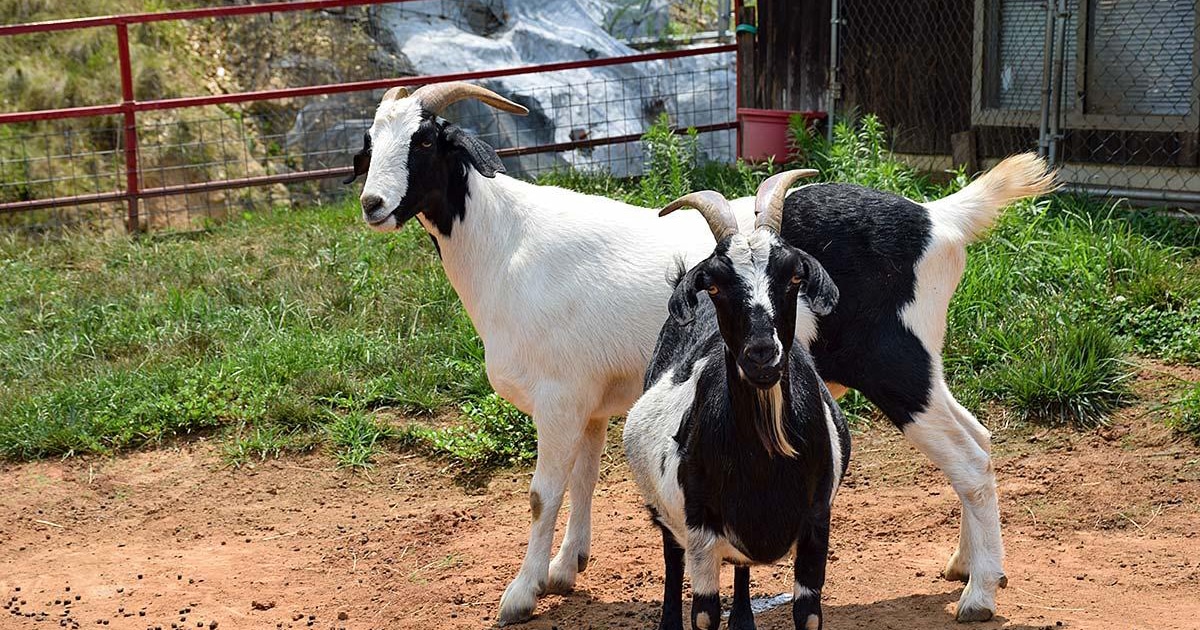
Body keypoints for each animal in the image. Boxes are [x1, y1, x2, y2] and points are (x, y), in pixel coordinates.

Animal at [628, 174, 854, 628]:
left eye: (794, 277)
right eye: (714, 284)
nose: (762, 352)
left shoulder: (817, 525)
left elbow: (808, 614)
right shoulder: (700, 531)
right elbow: (703, 614)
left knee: (741, 567)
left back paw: (745, 618)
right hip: (665, 511)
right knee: (671, 557)